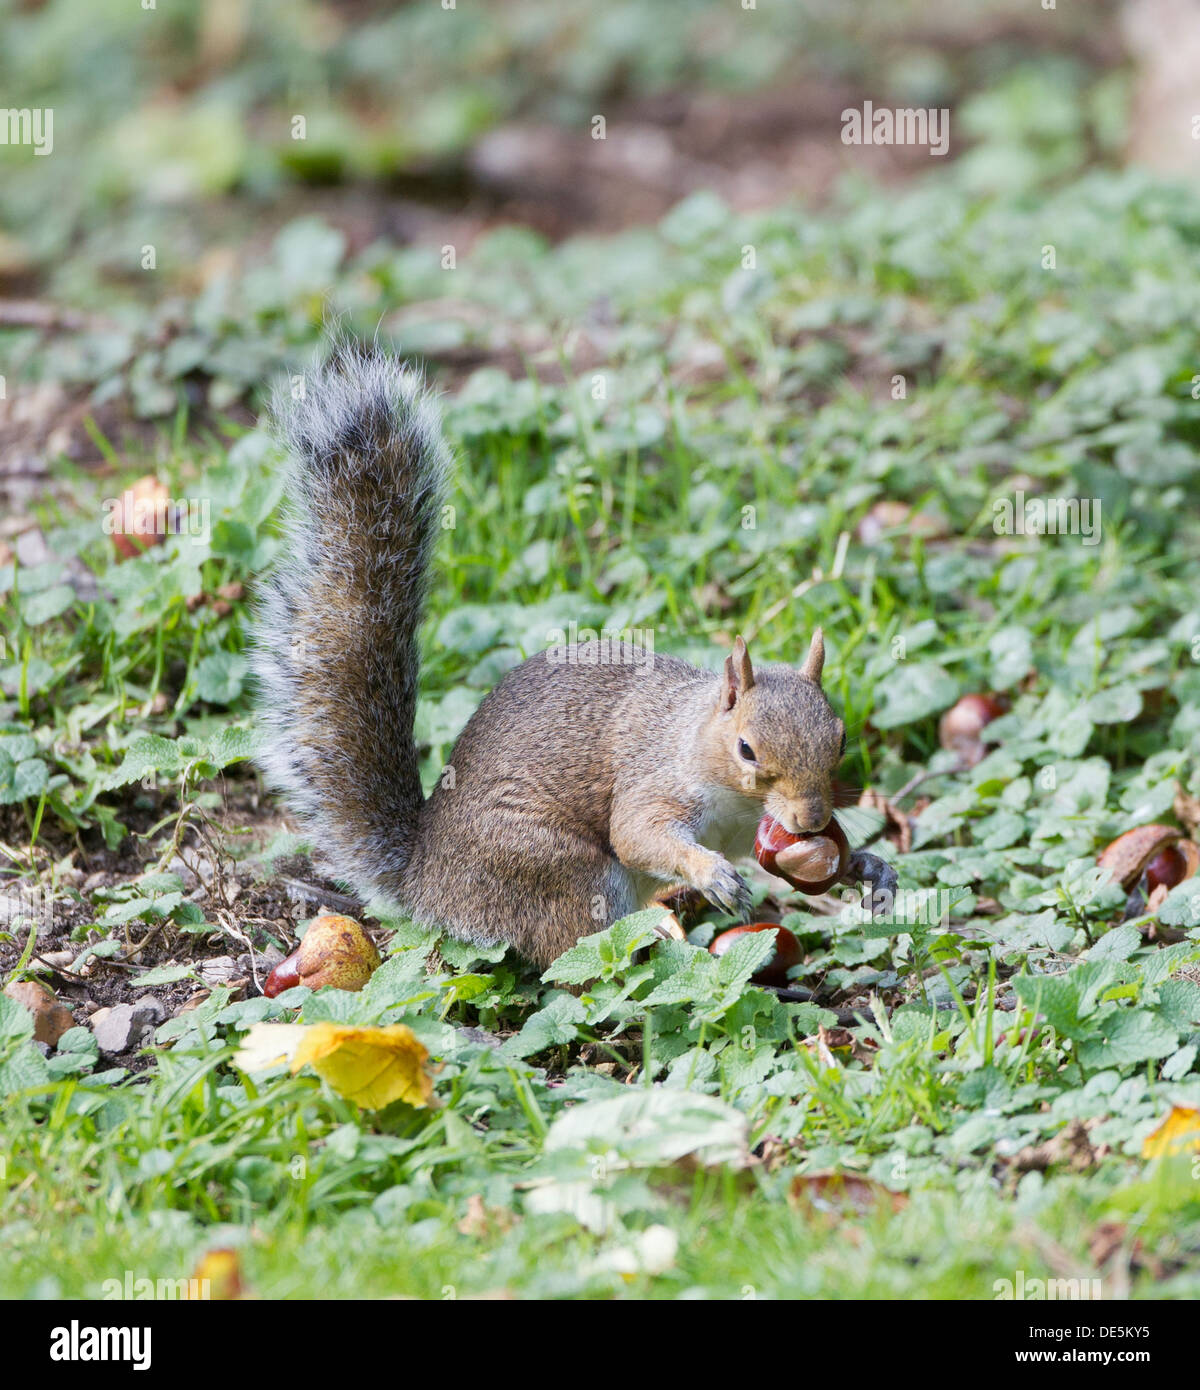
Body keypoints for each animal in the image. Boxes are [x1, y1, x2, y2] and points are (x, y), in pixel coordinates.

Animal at [251, 341, 893, 971]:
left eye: (839, 739)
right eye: (746, 749)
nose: (812, 820)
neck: (706, 755)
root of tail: (427, 883)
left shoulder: (746, 830)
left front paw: (866, 866)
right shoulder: (653, 783)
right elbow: (638, 835)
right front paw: (712, 875)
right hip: (561, 871)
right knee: (571, 955)